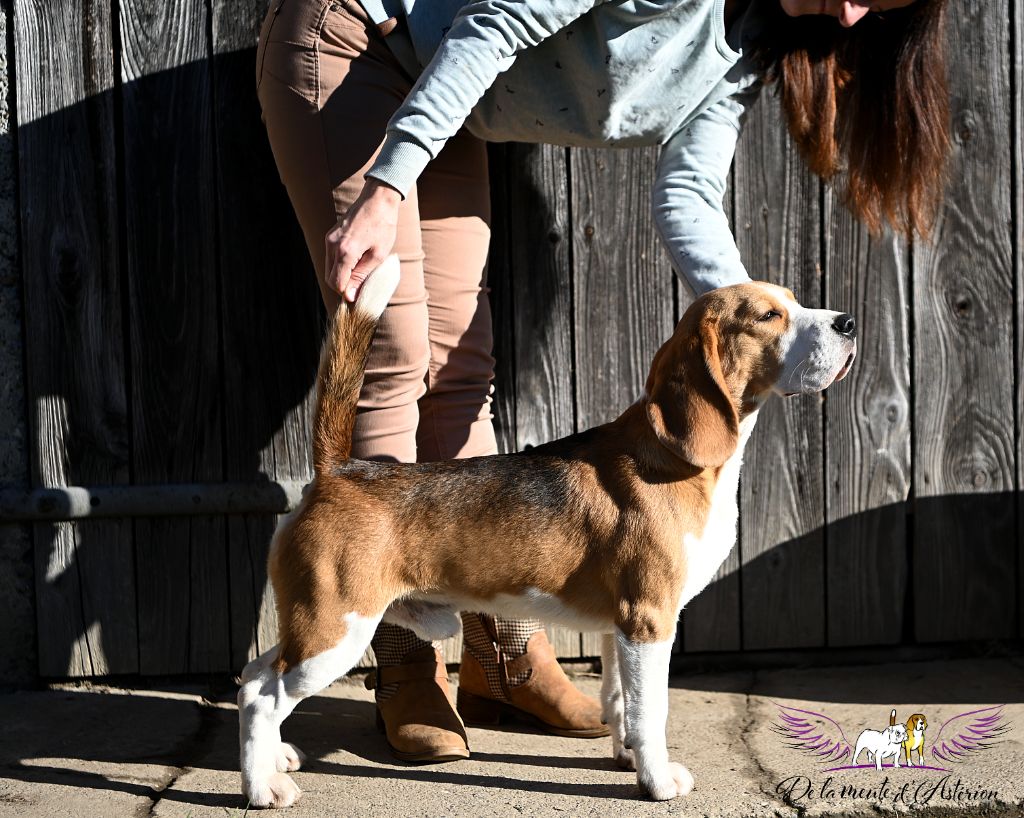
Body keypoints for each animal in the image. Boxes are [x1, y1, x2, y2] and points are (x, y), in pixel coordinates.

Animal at [237, 259, 856, 810]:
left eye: (794, 302)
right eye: (769, 316)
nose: (848, 323)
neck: (677, 458)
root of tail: (339, 470)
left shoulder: (620, 630)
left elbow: (620, 701)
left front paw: (627, 758)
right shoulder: (649, 621)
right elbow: (651, 711)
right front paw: (656, 781)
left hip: (311, 622)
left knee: (253, 673)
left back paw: (276, 758)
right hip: (335, 630)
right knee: (261, 694)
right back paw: (263, 789)